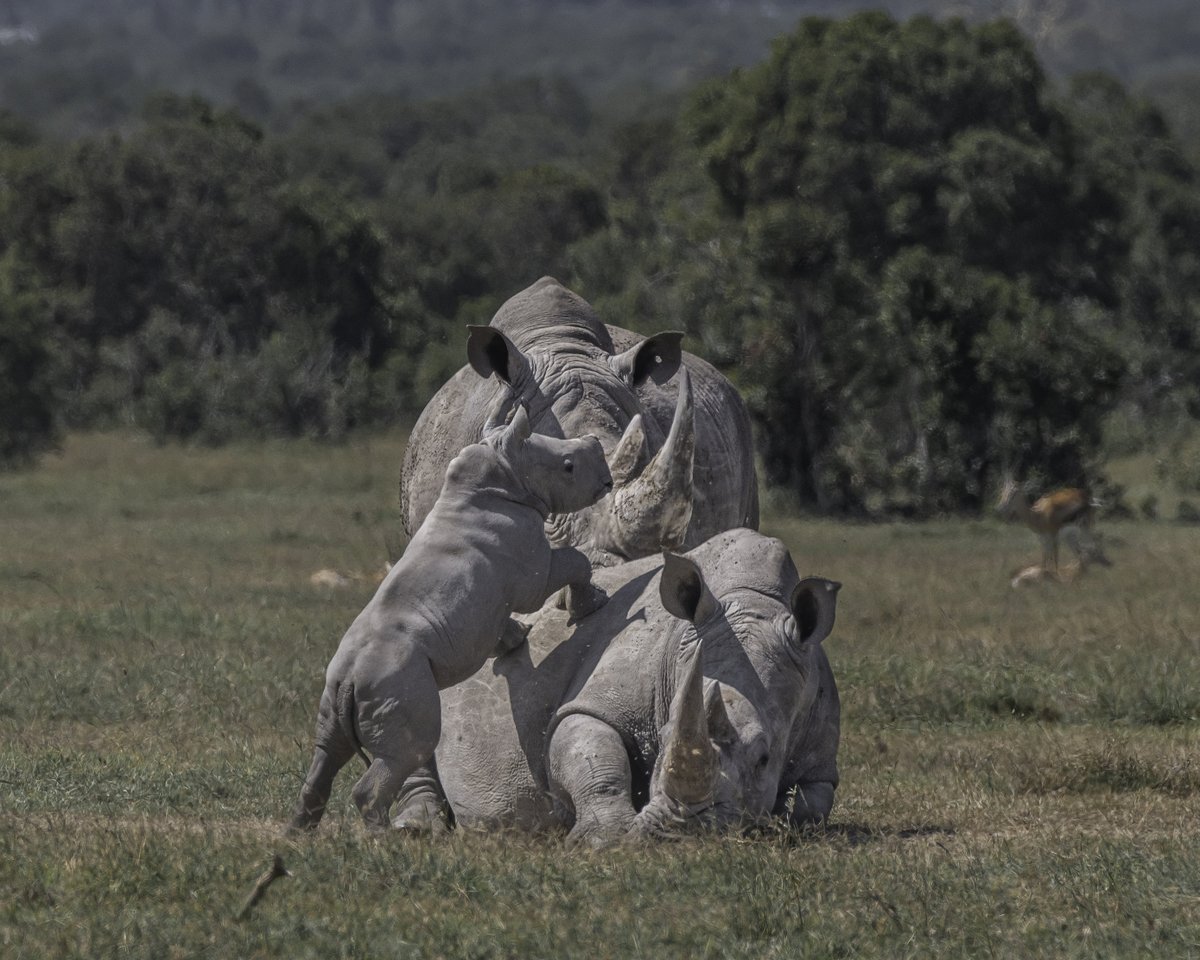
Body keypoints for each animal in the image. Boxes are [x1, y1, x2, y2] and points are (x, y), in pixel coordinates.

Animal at [289, 406, 613, 833]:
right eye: (569, 466)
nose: (605, 475)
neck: (505, 473)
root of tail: (351, 681)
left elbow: (502, 625)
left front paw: (515, 639)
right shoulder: (531, 570)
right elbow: (573, 562)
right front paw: (592, 606)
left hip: (337, 686)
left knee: (327, 751)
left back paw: (296, 838)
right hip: (396, 681)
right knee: (406, 750)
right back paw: (386, 839)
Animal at [392, 528, 841, 845]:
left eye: (764, 759)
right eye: (662, 736)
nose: (677, 833)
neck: (752, 600)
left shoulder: (820, 738)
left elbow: (813, 805)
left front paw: (781, 823)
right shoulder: (599, 696)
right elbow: (591, 749)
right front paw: (606, 839)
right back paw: (416, 829)